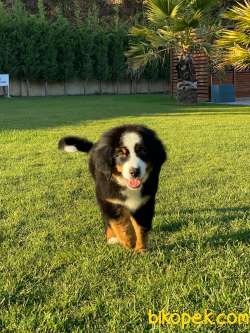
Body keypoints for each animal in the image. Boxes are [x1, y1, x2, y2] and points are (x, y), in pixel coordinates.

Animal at [58, 124, 167, 252]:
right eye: (120, 153)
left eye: (143, 150)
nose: (134, 172)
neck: (126, 185)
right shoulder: (109, 201)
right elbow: (120, 225)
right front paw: (129, 242)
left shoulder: (144, 202)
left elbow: (141, 228)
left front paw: (140, 249)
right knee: (107, 220)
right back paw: (111, 238)